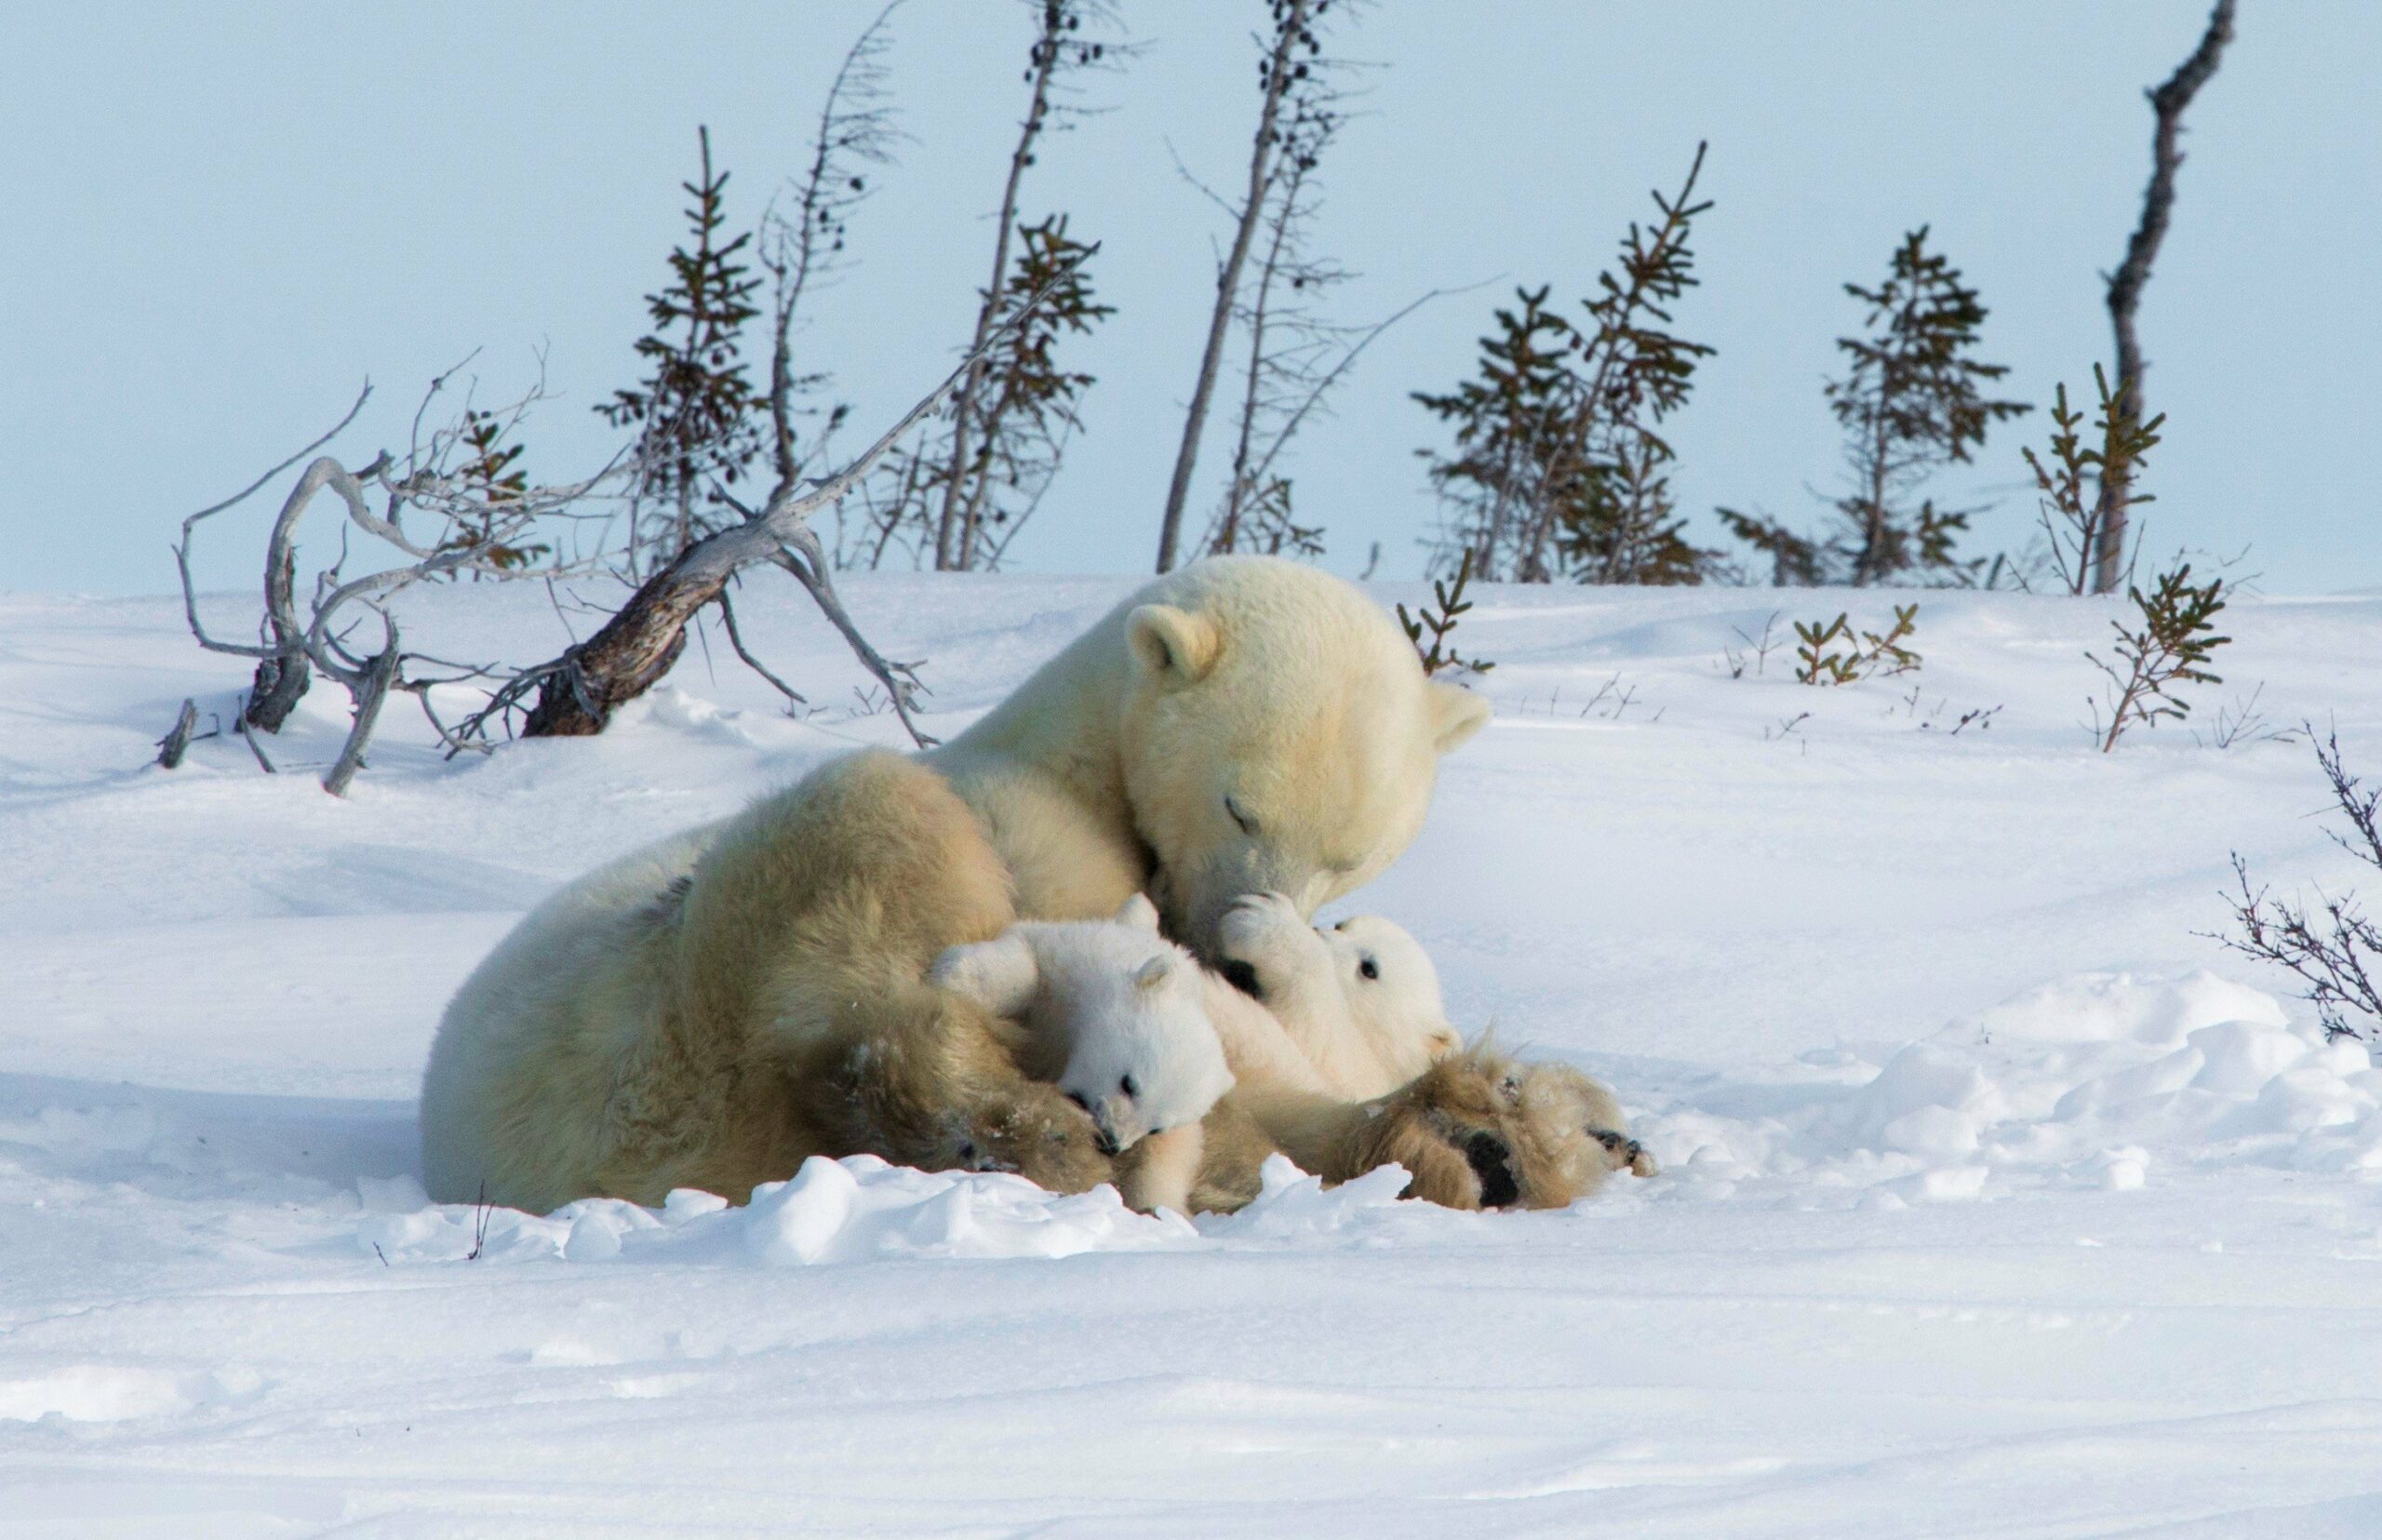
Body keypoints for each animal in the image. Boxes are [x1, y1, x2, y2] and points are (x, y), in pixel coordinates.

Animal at [426, 555, 1610, 1220]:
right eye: (1240, 806)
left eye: (1352, 851)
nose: (1236, 946)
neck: (1077, 761)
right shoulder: (1037, 832)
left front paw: (1515, 1125)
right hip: (663, 1019)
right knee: (867, 933)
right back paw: (1030, 1127)